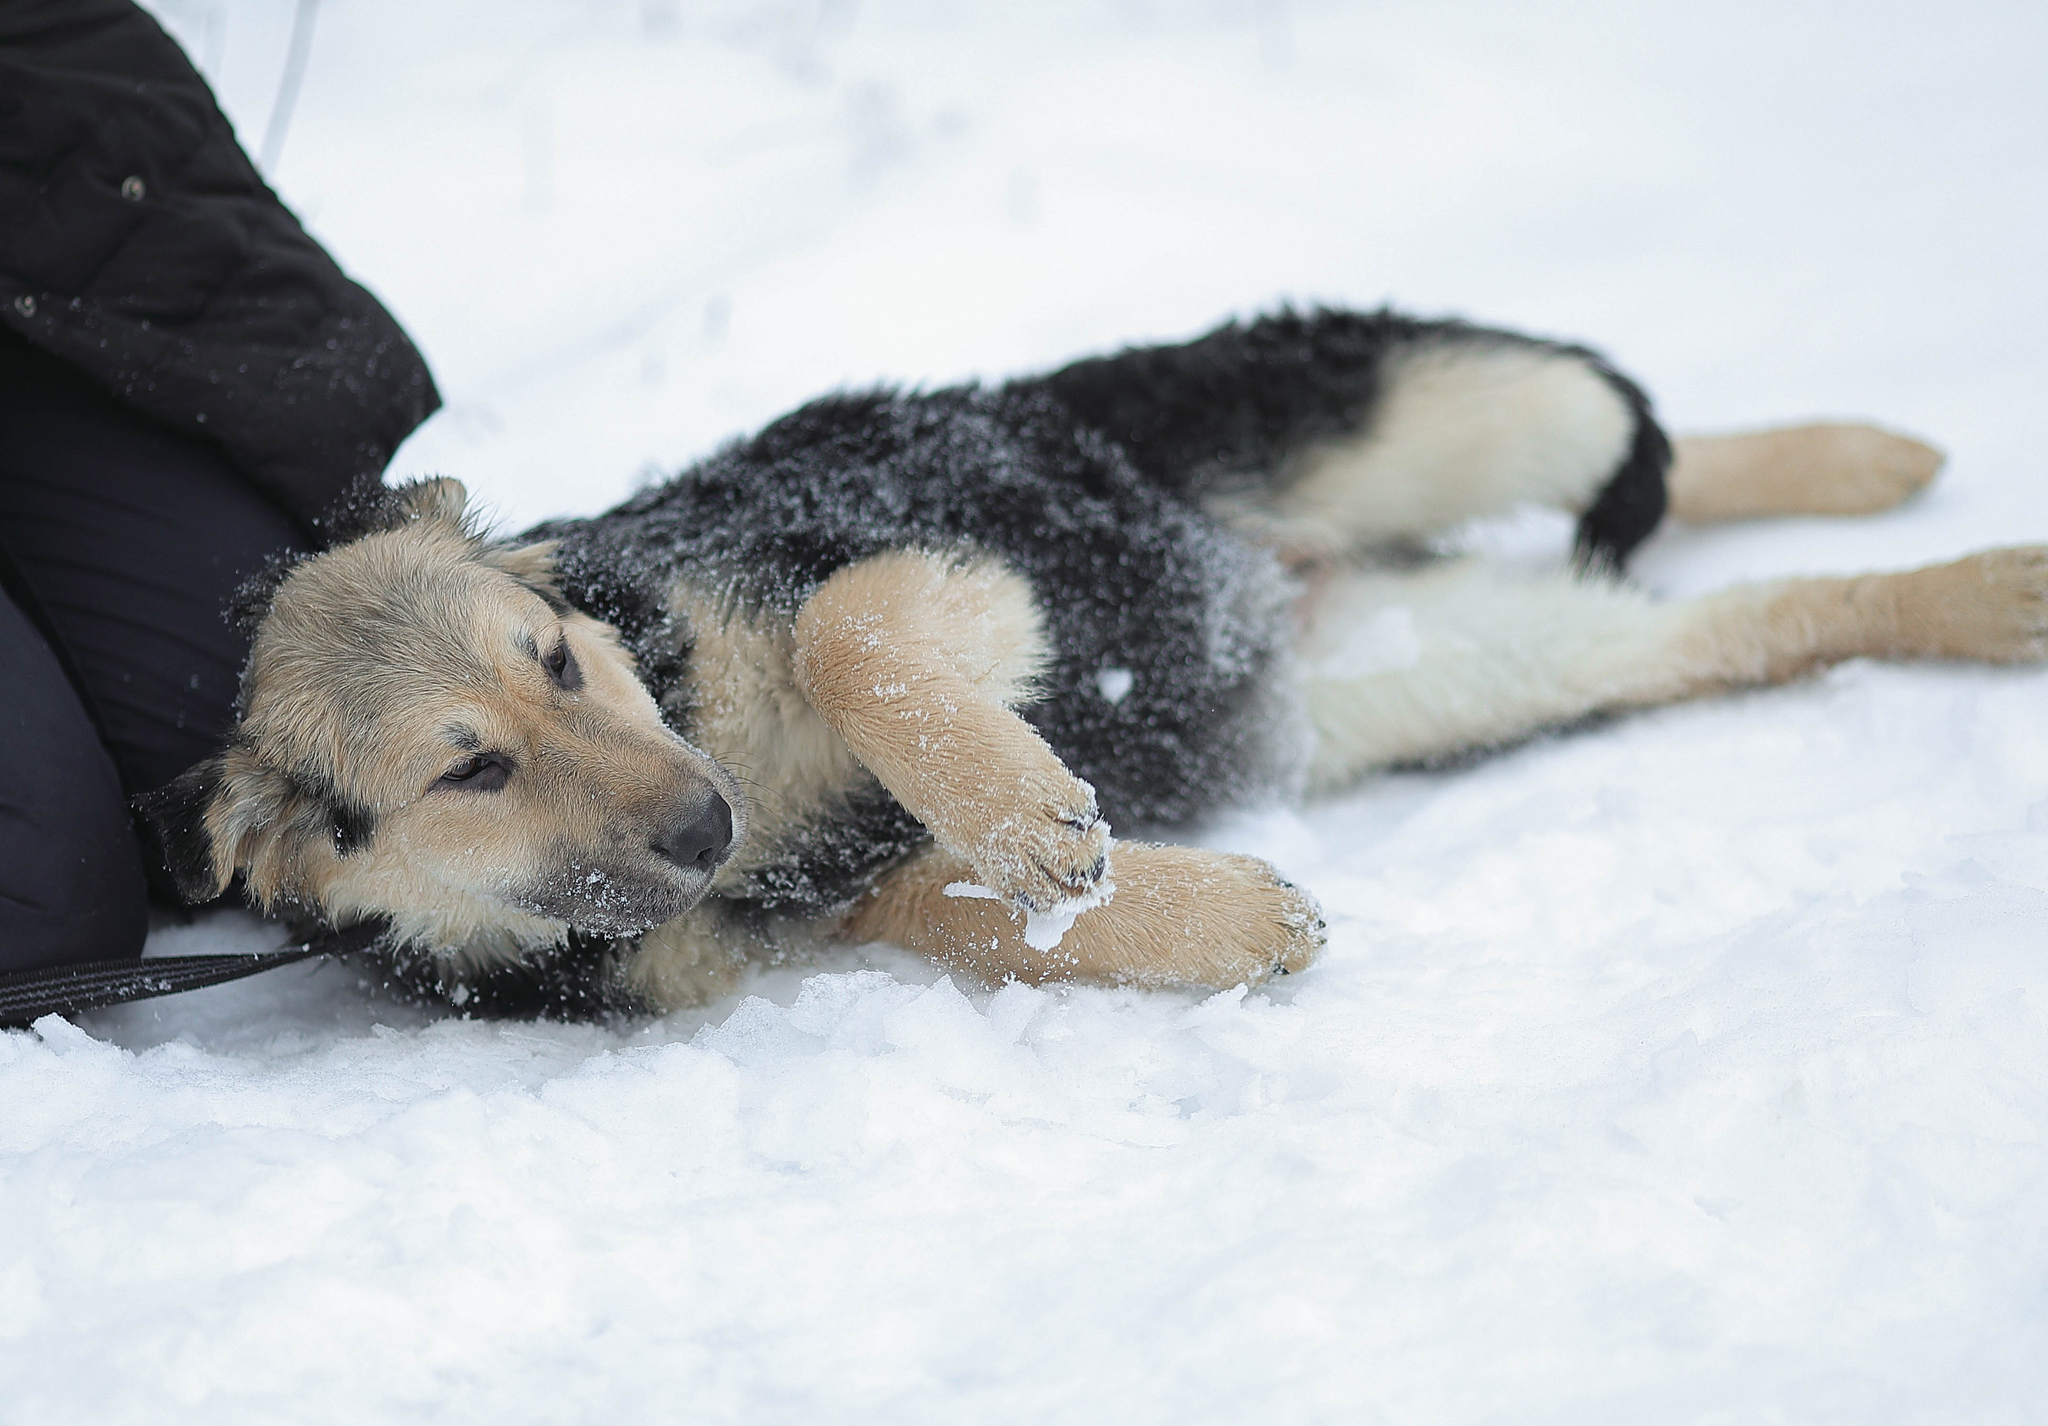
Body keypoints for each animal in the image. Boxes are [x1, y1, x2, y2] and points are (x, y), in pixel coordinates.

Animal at [136, 307, 2039, 1020]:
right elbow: (976, 916)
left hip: (1431, 406)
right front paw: (1220, 917)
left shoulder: (921, 562)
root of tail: (1284, 581)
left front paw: (1031, 813)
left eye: (558, 658)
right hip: (1459, 664)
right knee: (1758, 616)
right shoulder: (827, 908)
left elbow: (850, 641)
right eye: (470, 764)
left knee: (1649, 443)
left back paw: (1870, 458)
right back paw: (1982, 584)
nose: (701, 824)